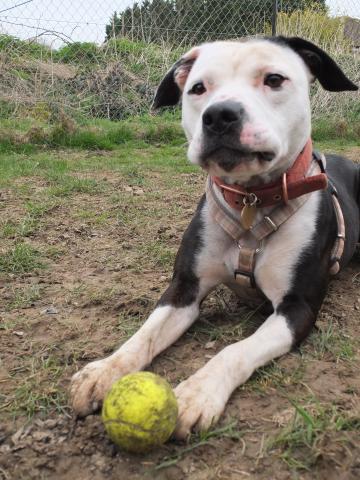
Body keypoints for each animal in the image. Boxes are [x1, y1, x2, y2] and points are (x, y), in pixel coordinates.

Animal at [69, 35, 358, 438]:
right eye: (197, 89)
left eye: (274, 79)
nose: (219, 115)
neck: (252, 200)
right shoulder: (183, 289)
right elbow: (145, 334)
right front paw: (106, 370)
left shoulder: (297, 308)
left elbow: (235, 350)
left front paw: (197, 393)